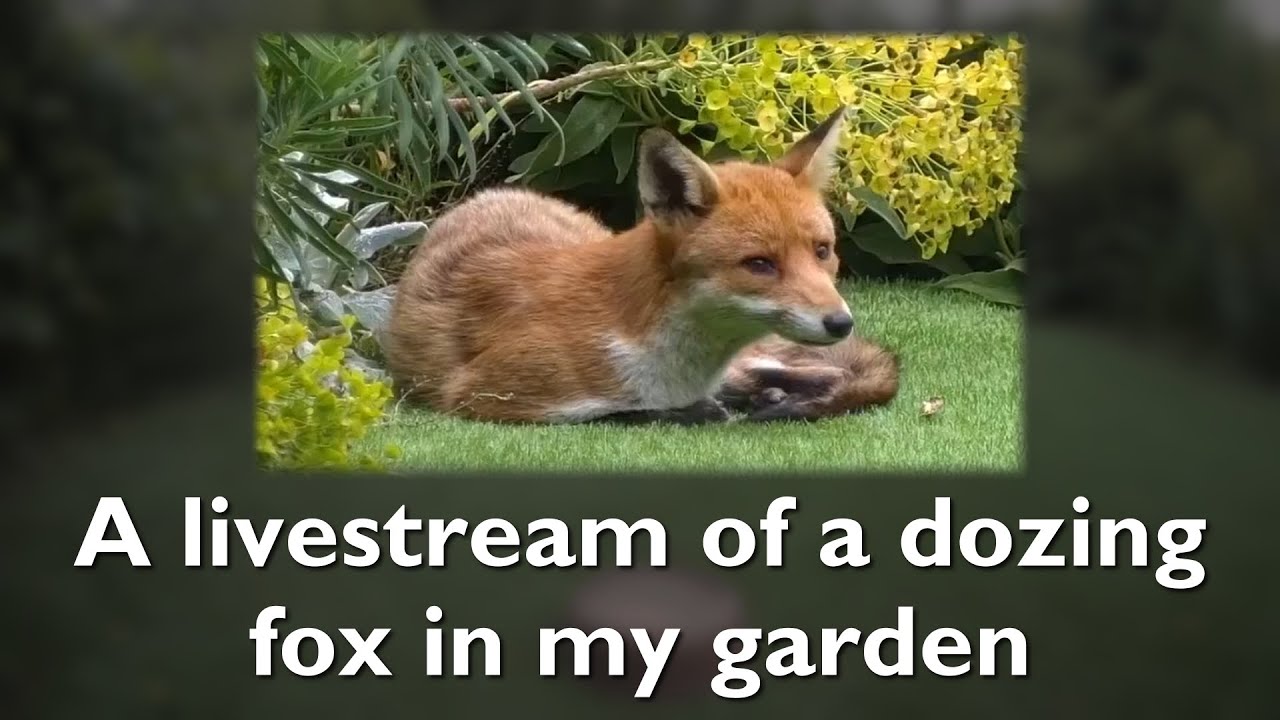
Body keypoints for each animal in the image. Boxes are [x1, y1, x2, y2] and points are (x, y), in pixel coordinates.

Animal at [385, 105, 900, 424]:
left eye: (821, 251)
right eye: (759, 263)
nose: (840, 323)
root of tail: (487, 196)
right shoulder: (483, 396)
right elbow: (614, 413)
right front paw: (697, 410)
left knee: (823, 374)